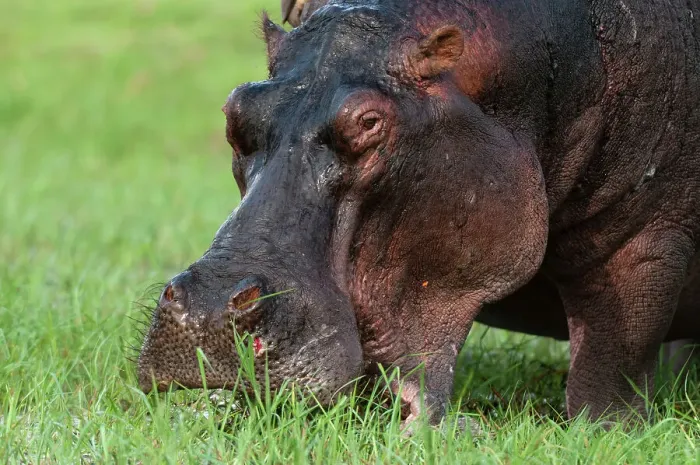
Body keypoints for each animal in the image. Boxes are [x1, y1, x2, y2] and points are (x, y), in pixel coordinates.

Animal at [138, 0, 700, 427]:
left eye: (369, 122)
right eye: (235, 109)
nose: (207, 310)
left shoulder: (640, 246)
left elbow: (610, 367)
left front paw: (606, 433)